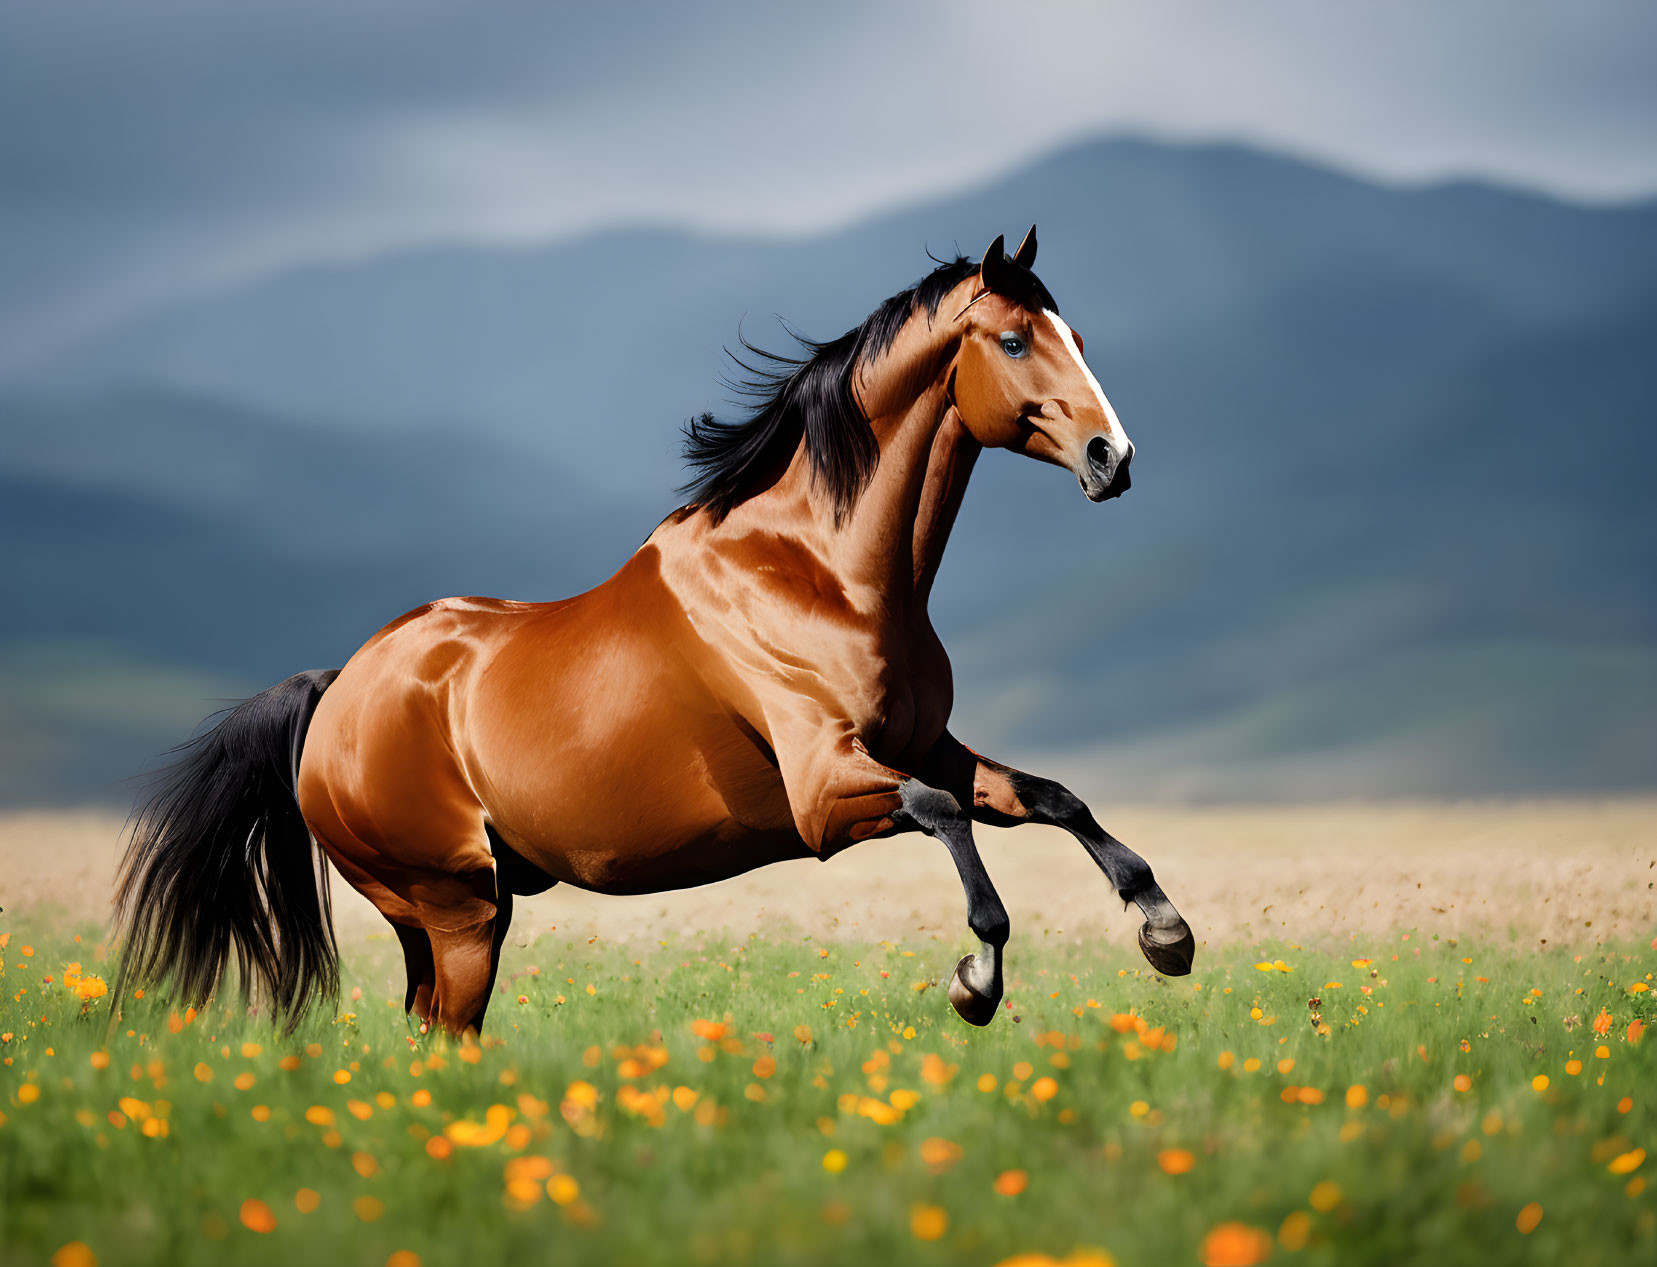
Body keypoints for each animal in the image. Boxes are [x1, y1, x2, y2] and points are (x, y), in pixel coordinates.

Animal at [113, 230, 1193, 1040]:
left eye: (1075, 333)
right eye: (1012, 341)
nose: (1114, 456)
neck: (818, 573)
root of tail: (337, 689)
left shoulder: (926, 741)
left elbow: (1052, 797)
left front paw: (1165, 932)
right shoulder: (824, 793)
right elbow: (947, 823)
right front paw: (976, 980)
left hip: (451, 912)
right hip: (456, 906)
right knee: (447, 1028)